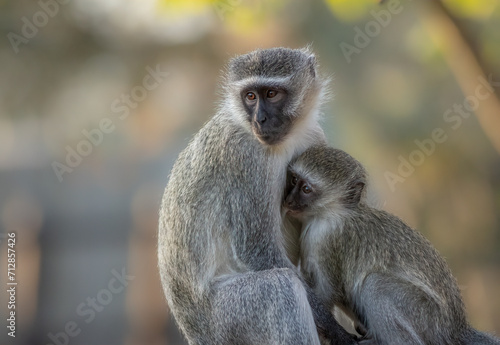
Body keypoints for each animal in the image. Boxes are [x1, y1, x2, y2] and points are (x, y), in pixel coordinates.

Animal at [156, 46, 356, 344]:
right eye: (250, 96)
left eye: (271, 94)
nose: (259, 120)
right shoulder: (243, 157)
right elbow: (256, 248)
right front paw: (335, 329)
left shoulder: (314, 138)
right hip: (229, 319)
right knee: (280, 287)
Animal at [284, 144, 498, 344]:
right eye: (294, 180)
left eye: (306, 189)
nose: (288, 200)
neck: (331, 213)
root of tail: (457, 329)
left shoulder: (328, 241)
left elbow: (327, 292)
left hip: (428, 318)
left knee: (376, 285)